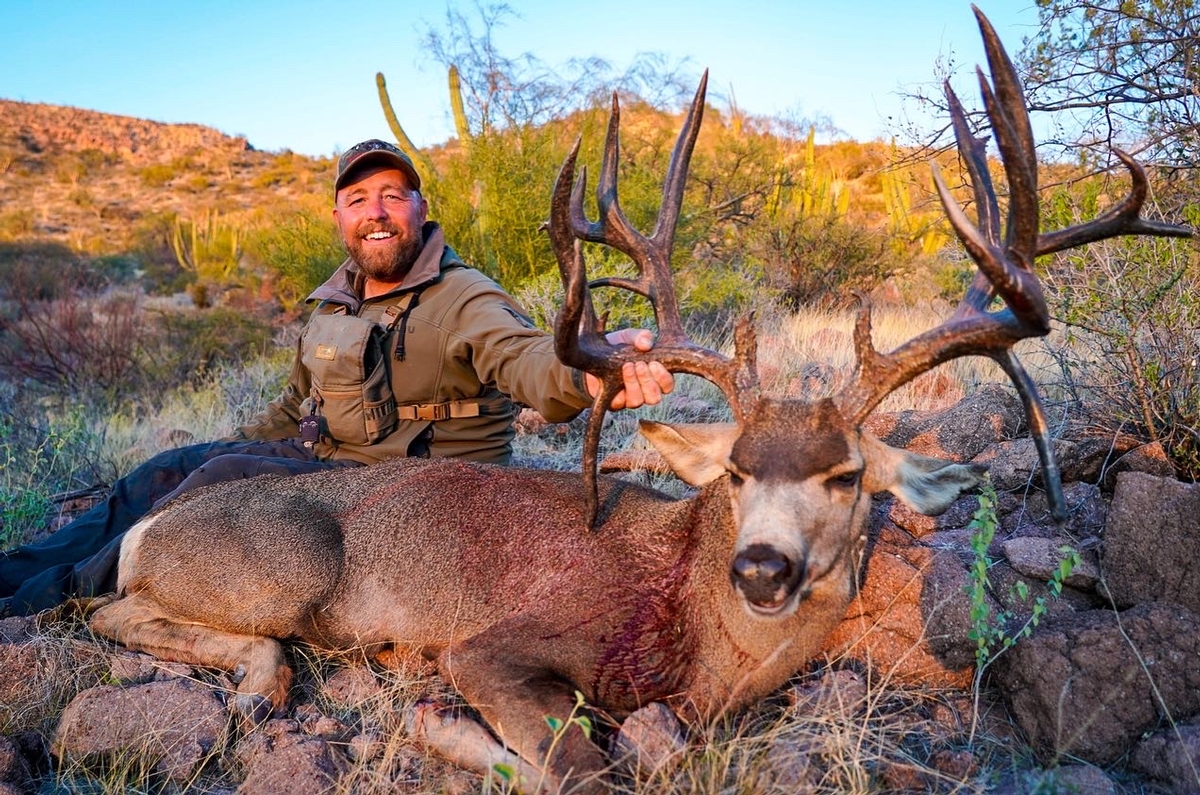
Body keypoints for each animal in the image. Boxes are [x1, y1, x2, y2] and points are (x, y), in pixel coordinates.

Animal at [86, 7, 1192, 793]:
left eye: (845, 475)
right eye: (736, 470)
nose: (760, 566)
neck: (700, 642)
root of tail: (147, 525)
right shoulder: (498, 641)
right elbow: (586, 769)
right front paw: (442, 724)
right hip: (284, 573)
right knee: (125, 611)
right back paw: (259, 682)